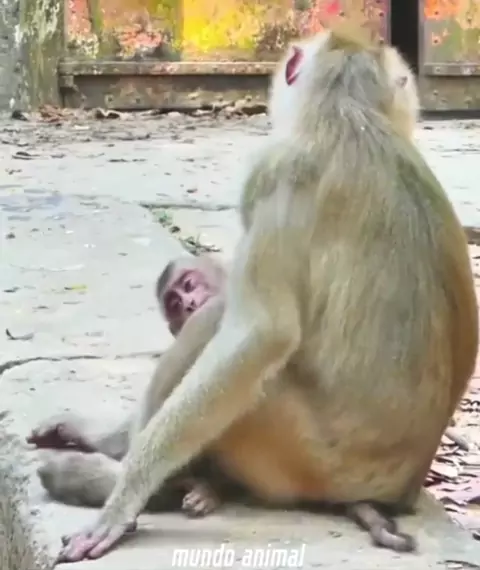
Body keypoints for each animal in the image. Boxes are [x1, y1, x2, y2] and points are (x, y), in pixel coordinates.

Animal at [56, 24, 480, 562]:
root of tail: (397, 490)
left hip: (302, 457)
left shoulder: (273, 173)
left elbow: (262, 335)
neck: (349, 115)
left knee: (216, 324)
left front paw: (125, 494)